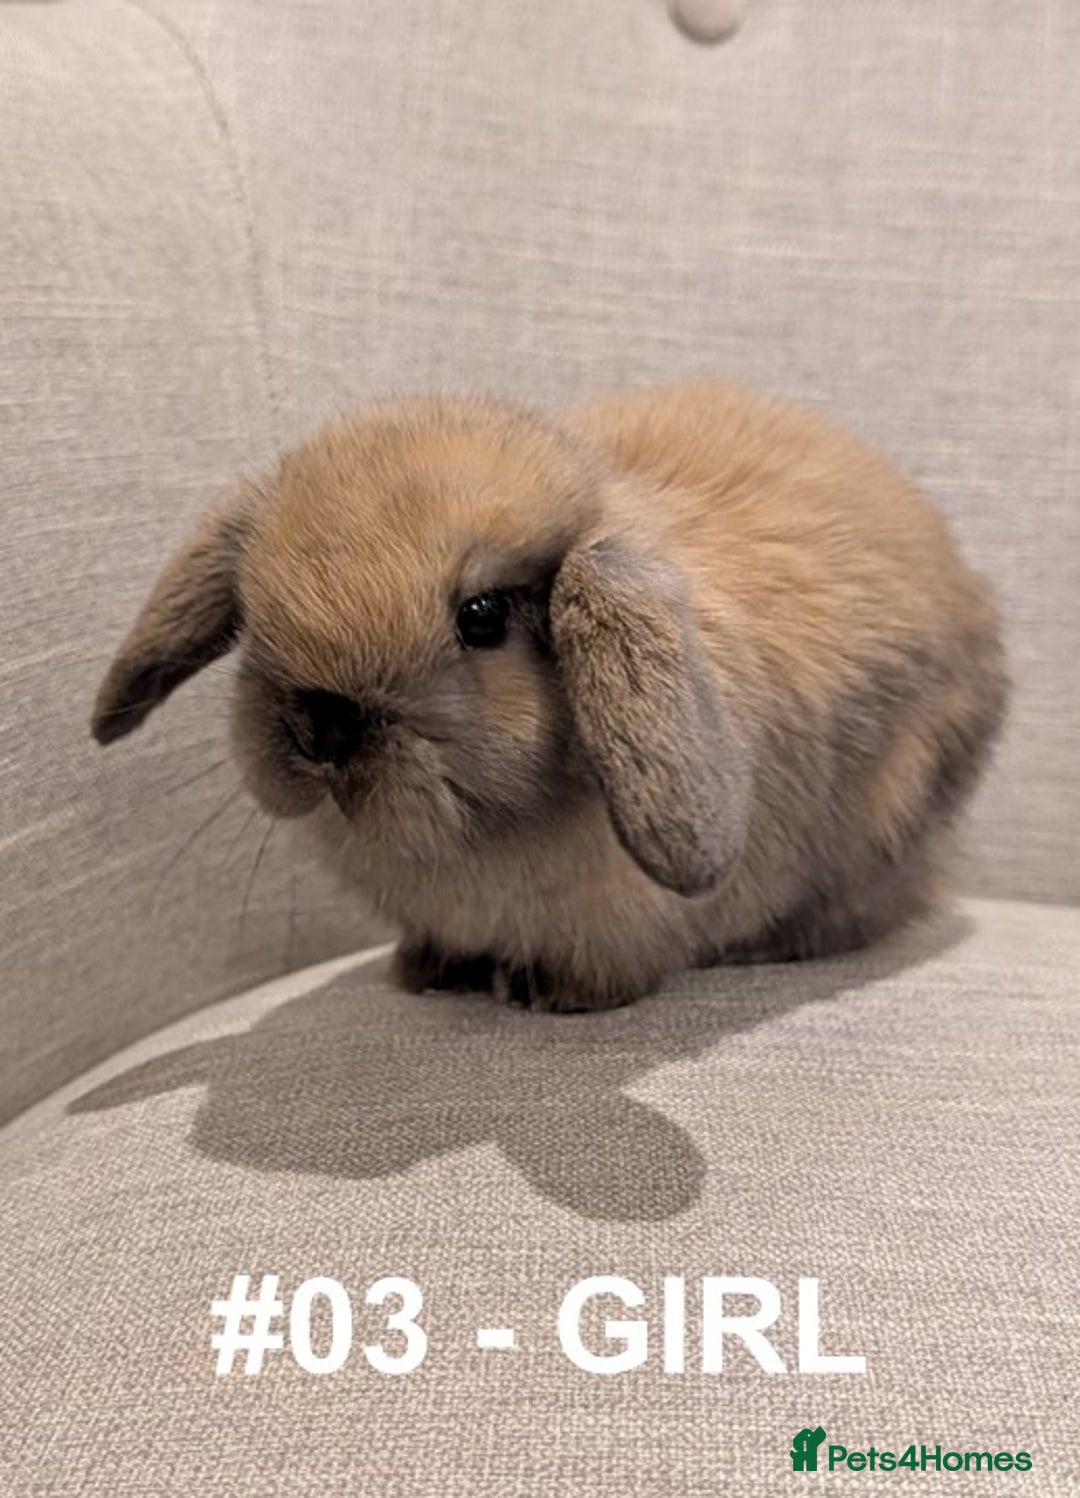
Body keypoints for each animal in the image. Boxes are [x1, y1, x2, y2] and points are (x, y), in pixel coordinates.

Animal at [92, 380, 1007, 1012]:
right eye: (252, 609)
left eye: (483, 616)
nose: (320, 726)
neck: (481, 840)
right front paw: (426, 971)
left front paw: (548, 994)